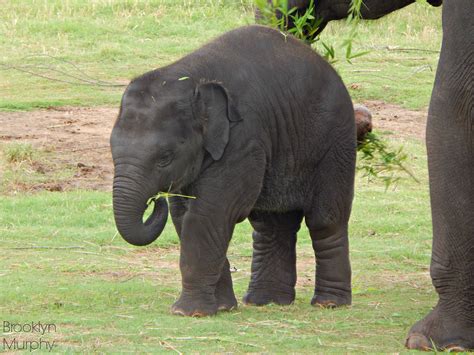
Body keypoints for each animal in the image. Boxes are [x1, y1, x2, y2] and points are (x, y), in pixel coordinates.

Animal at [111, 24, 356, 318]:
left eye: (164, 158)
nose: (155, 201)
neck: (191, 78)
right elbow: (184, 215)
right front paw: (222, 308)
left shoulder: (244, 138)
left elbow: (210, 212)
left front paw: (189, 313)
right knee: (271, 224)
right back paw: (267, 301)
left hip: (336, 142)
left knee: (325, 219)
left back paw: (329, 303)